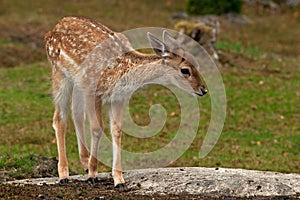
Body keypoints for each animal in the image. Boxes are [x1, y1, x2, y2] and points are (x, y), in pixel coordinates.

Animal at [44, 16, 207, 189]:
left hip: (76, 81)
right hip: (59, 72)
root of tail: (52, 30)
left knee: (77, 115)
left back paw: (84, 162)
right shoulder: (92, 90)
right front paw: (93, 175)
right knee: (59, 118)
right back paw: (64, 174)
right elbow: (97, 128)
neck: (122, 73)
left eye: (197, 64)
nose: (203, 90)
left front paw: (118, 179)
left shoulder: (117, 97)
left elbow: (116, 130)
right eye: (185, 70)